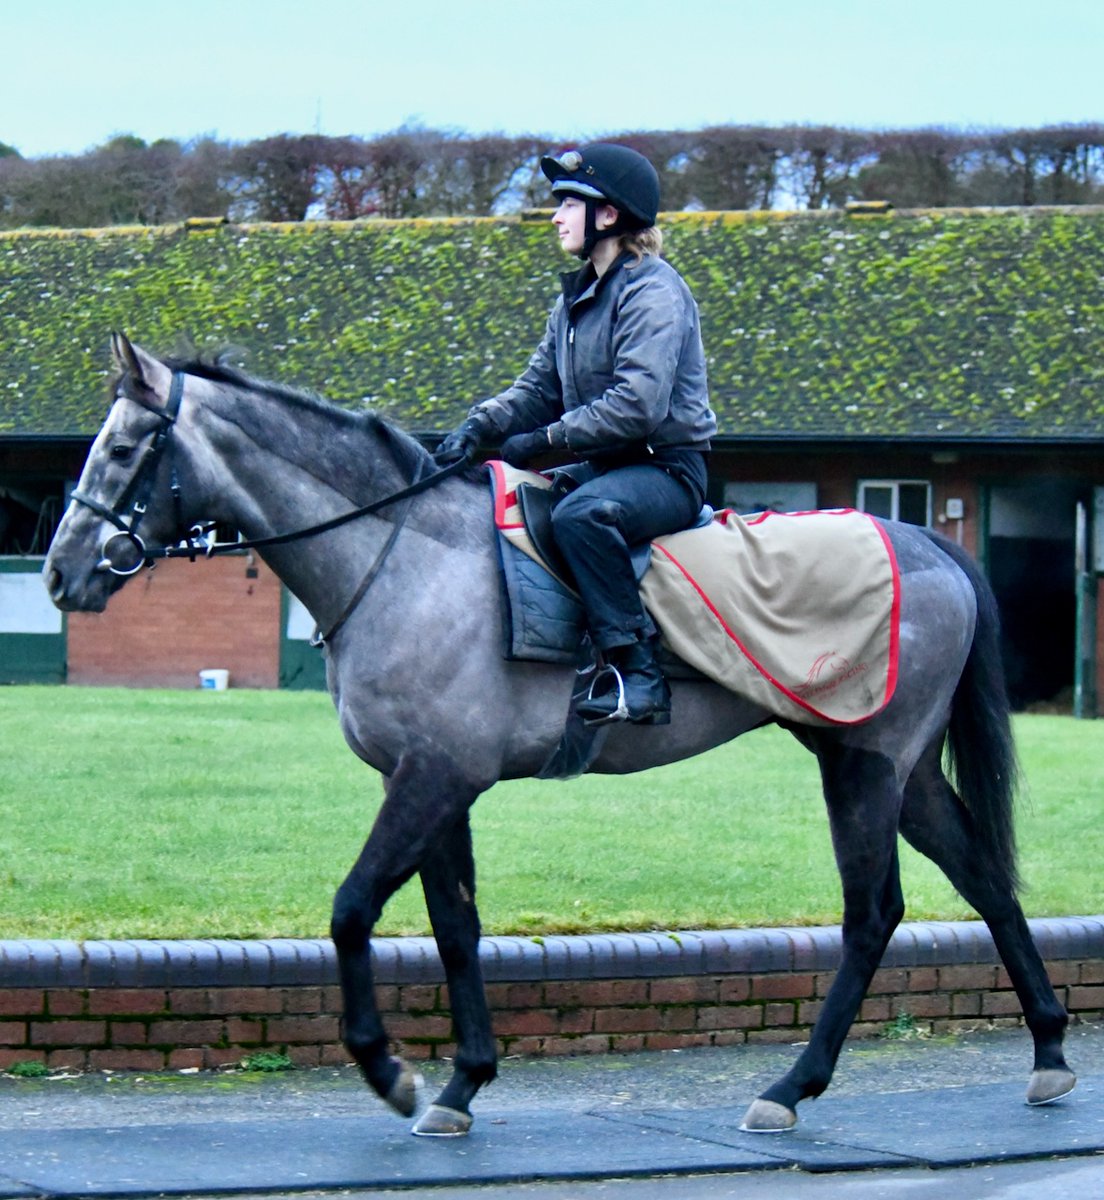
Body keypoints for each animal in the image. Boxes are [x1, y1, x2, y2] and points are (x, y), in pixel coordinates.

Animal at [47, 336, 1075, 1132]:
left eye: (128, 447)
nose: (61, 573)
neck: (406, 556)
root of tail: (929, 543)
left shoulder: (431, 777)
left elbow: (350, 911)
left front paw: (390, 1069)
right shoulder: (435, 783)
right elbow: (456, 926)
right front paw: (463, 1081)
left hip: (863, 762)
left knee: (872, 914)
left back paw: (792, 1086)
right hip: (897, 767)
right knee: (985, 880)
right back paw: (1050, 1049)